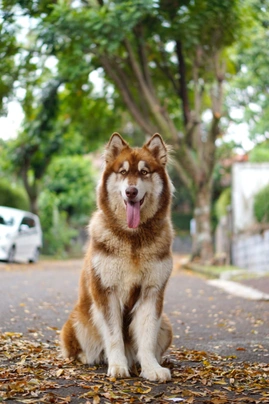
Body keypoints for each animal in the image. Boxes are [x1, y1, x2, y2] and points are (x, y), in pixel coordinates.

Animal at [60, 133, 174, 382]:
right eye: (122, 172)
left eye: (144, 172)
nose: (131, 191)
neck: (133, 239)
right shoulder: (106, 291)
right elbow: (113, 336)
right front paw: (118, 366)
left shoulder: (152, 291)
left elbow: (147, 336)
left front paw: (151, 368)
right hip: (78, 320)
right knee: (81, 350)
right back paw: (90, 357)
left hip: (167, 325)